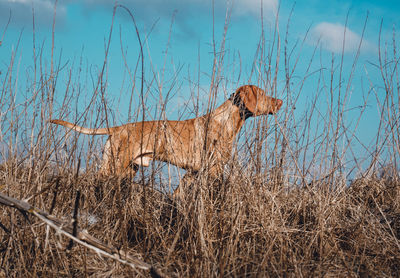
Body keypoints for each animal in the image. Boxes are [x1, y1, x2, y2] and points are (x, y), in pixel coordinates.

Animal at [50, 85, 282, 178]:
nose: (280, 102)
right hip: (113, 167)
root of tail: (118, 128)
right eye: (263, 94)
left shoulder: (194, 173)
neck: (227, 121)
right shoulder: (213, 171)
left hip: (127, 170)